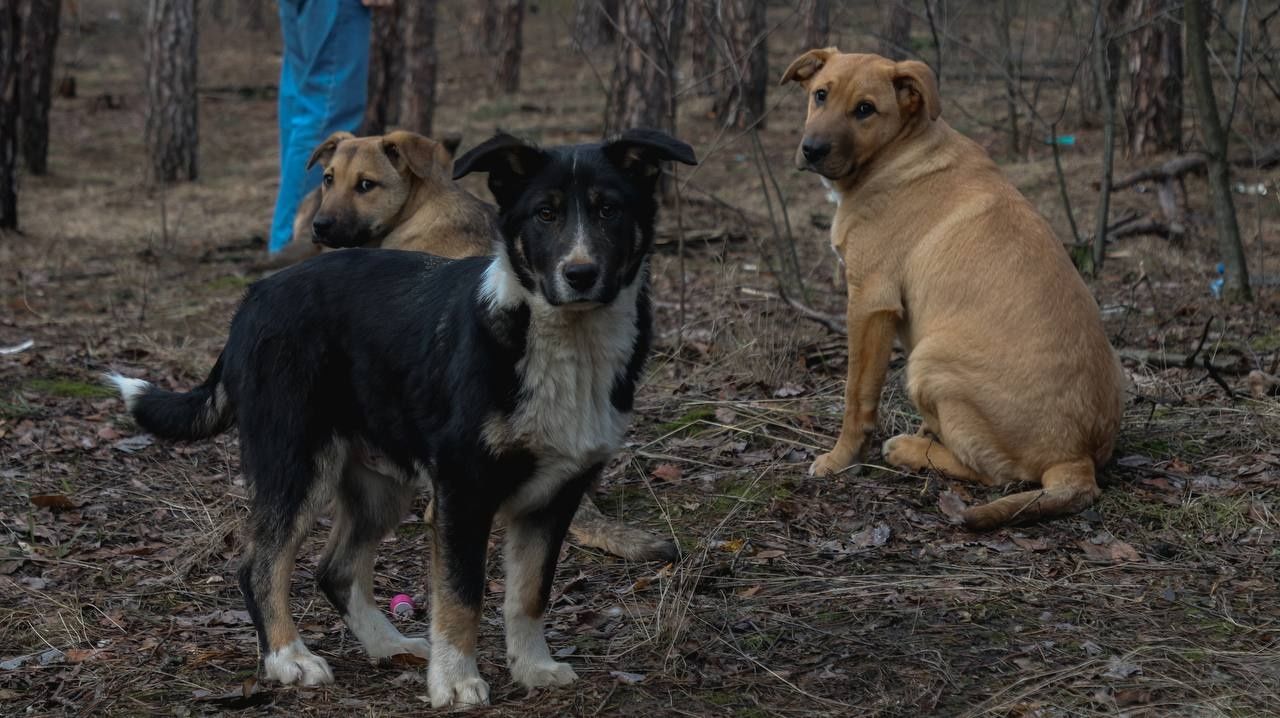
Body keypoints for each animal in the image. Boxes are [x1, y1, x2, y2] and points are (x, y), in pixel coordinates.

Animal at [783, 50, 1126, 529]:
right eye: (820, 95)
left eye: (865, 109)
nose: (812, 150)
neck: (899, 152)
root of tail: (1077, 460)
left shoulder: (870, 302)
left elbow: (857, 398)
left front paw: (839, 460)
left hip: (930, 360)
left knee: (997, 473)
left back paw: (910, 450)